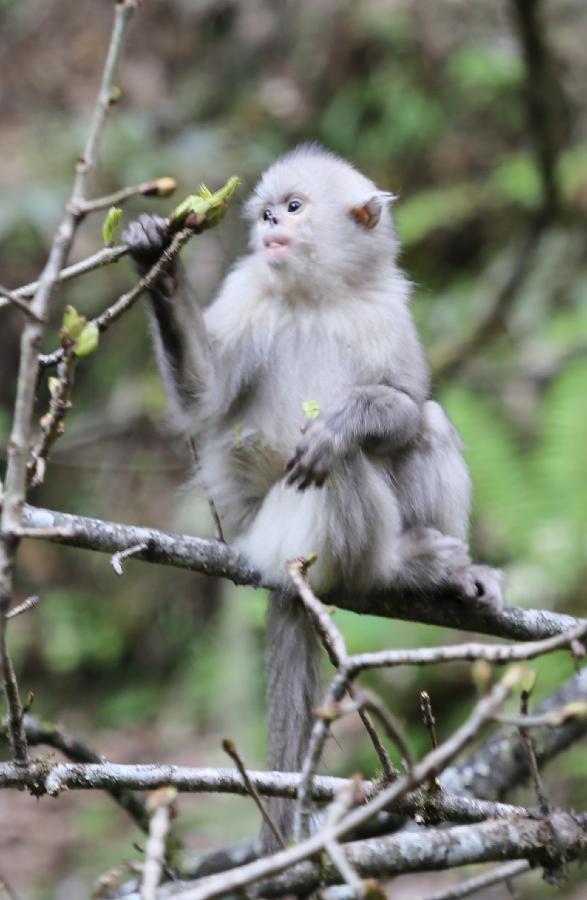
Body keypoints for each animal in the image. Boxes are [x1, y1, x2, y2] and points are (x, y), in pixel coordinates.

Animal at [124, 144, 506, 848]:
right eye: (268, 212)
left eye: (294, 207)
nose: (273, 222)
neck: (318, 297)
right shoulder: (248, 291)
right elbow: (204, 401)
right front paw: (156, 264)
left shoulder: (387, 309)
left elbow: (404, 404)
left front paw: (350, 416)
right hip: (288, 536)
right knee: (340, 467)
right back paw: (400, 566)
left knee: (422, 424)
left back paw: (444, 573)